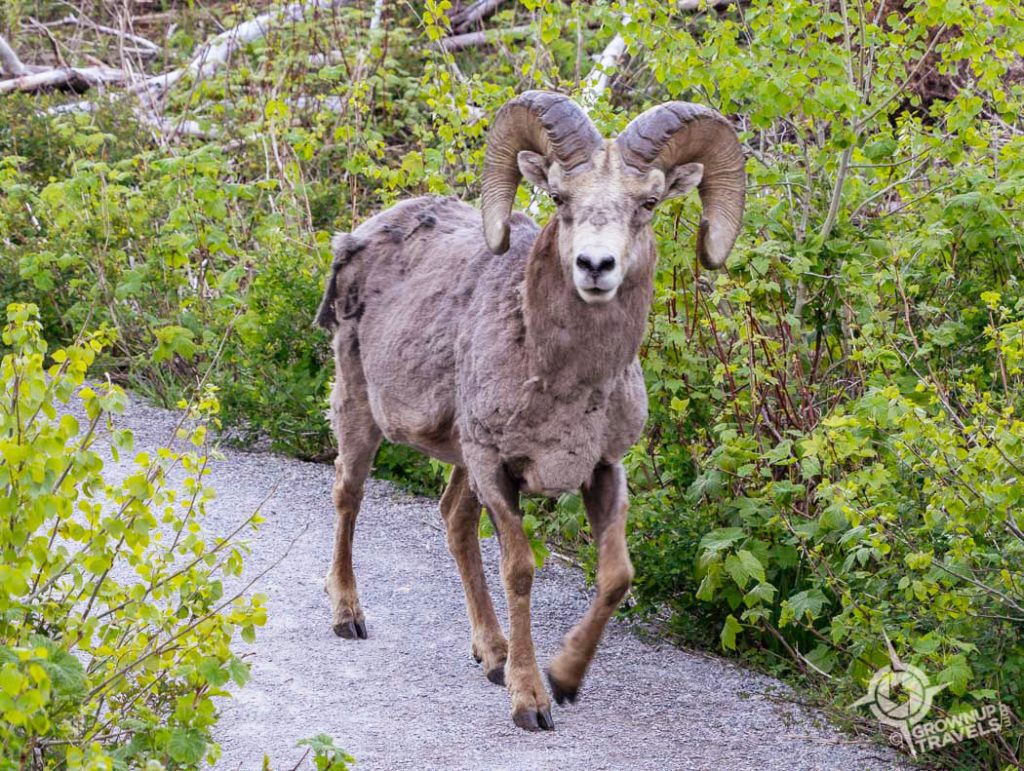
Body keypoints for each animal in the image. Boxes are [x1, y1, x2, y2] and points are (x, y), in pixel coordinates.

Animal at [314, 90, 746, 732]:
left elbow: (617, 577)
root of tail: (358, 237)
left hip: (460, 457)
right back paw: (349, 617)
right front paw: (530, 702)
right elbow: (519, 570)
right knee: (349, 493)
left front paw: (564, 679)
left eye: (646, 204)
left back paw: (490, 654)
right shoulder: (498, 467)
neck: (570, 383)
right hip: (361, 408)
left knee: (454, 521)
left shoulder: (602, 469)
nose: (595, 266)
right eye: (562, 199)